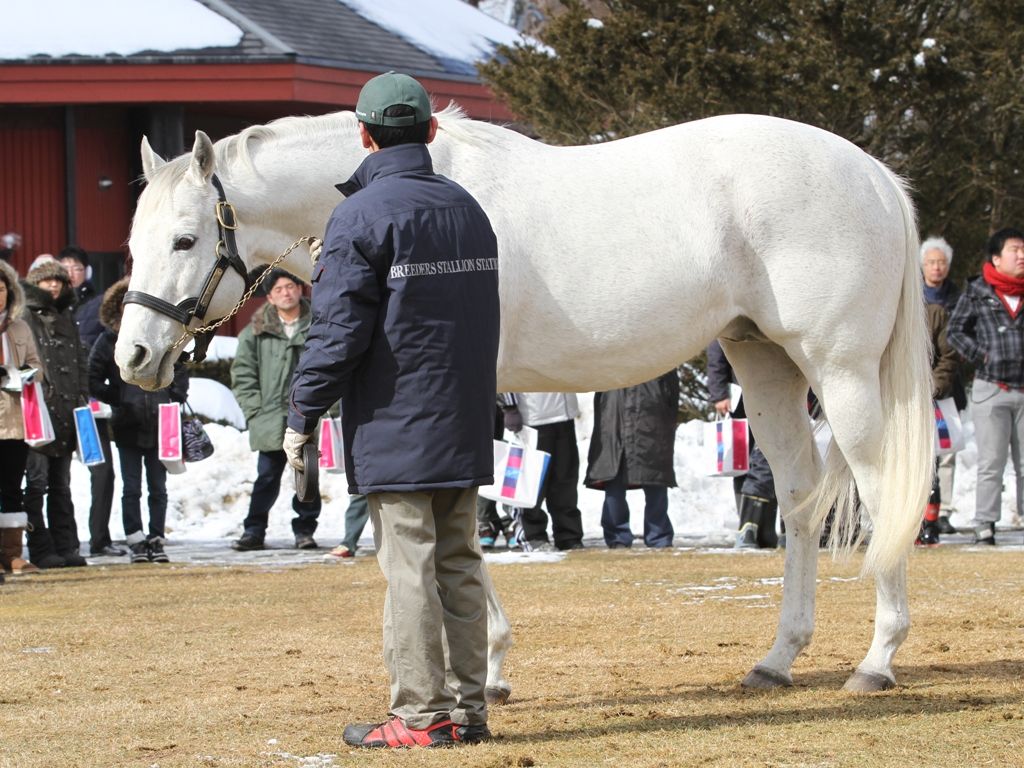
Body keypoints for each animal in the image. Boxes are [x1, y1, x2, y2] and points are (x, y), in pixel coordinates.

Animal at [117, 107, 937, 696]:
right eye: (133, 243)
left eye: (186, 239)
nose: (134, 358)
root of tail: (870, 172)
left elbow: (467, 509)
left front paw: (486, 665)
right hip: (762, 362)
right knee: (800, 497)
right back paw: (778, 659)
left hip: (841, 369)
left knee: (880, 493)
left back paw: (877, 661)